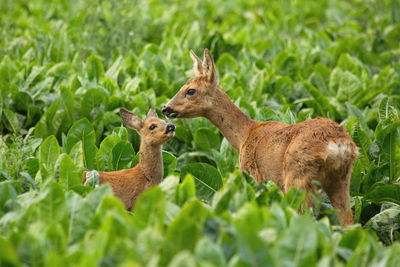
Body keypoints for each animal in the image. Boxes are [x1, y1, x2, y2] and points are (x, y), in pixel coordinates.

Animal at [162, 49, 360, 225]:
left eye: (190, 90)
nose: (165, 108)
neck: (245, 135)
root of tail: (337, 144)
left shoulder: (253, 175)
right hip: (341, 179)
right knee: (348, 222)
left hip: (297, 179)